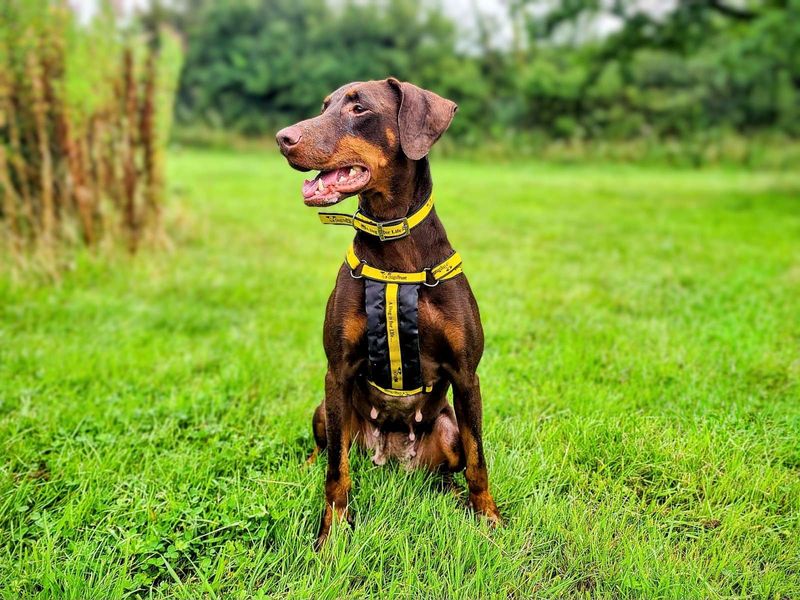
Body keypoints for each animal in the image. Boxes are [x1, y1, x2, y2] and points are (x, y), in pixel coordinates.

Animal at [278, 77, 496, 548]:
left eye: (359, 108)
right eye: (324, 106)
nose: (282, 138)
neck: (393, 239)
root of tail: (393, 458)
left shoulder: (467, 375)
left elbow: (478, 459)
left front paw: (488, 519)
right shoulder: (336, 371)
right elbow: (336, 472)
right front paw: (332, 535)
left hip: (447, 430)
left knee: (447, 470)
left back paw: (453, 496)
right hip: (327, 410)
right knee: (328, 449)